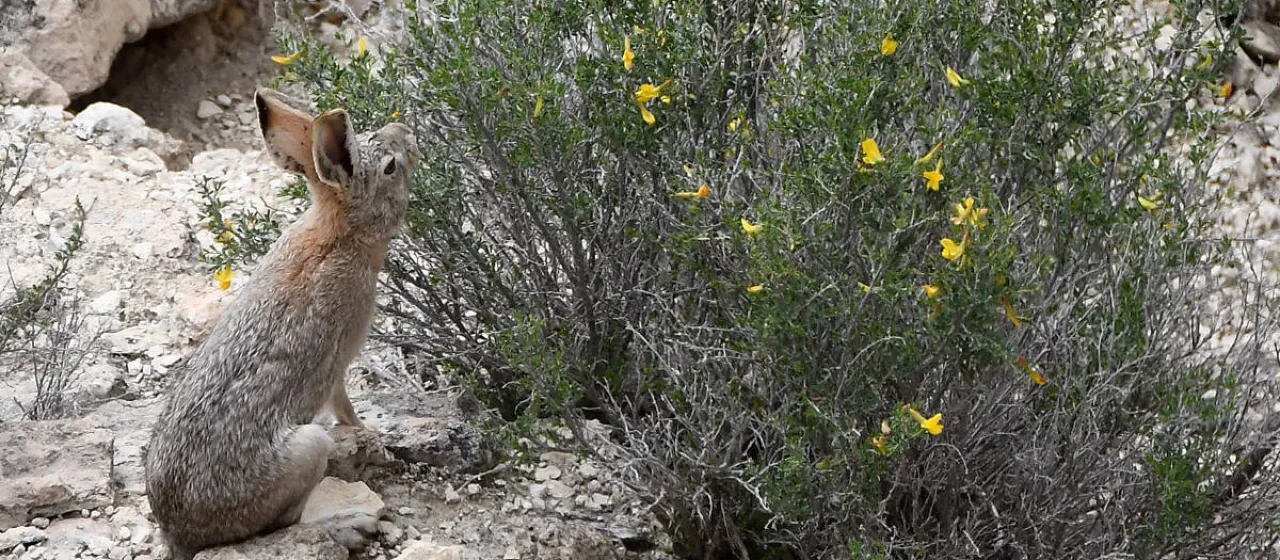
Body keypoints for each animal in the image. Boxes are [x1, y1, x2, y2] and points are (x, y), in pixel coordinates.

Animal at [144, 87, 419, 560]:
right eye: (390, 167)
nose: (408, 134)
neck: (341, 235)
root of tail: (180, 532)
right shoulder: (341, 355)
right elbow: (344, 404)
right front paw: (369, 432)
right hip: (309, 449)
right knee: (284, 524)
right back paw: (349, 523)